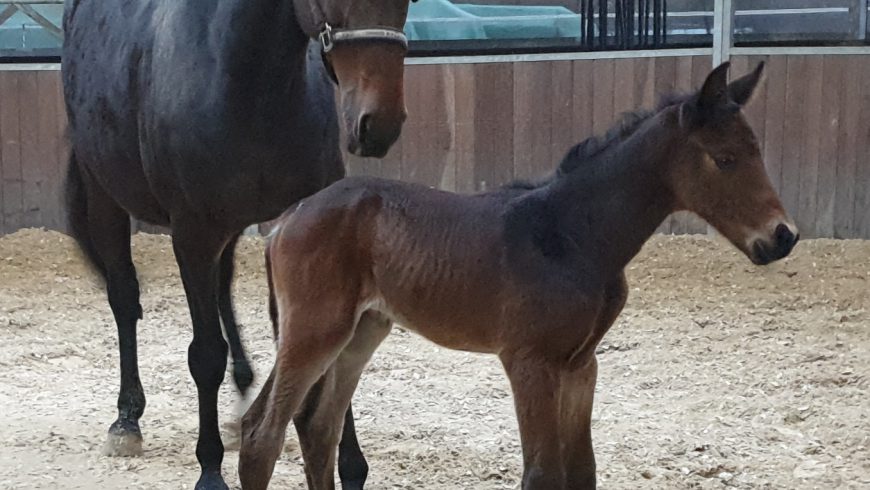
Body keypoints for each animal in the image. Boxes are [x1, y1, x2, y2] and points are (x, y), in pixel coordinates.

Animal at [62, 0, 416, 490]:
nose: (378, 125)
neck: (249, 84)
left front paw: (349, 467)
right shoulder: (193, 235)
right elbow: (205, 354)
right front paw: (210, 470)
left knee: (223, 289)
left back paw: (243, 388)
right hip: (106, 199)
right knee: (125, 300)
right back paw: (127, 420)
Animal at [242, 62, 800, 490]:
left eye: (757, 151)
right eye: (725, 159)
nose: (782, 237)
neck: (570, 234)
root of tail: (287, 218)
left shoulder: (580, 366)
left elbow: (582, 472)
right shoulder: (529, 363)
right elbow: (543, 474)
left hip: (362, 331)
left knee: (318, 430)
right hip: (315, 330)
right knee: (260, 434)